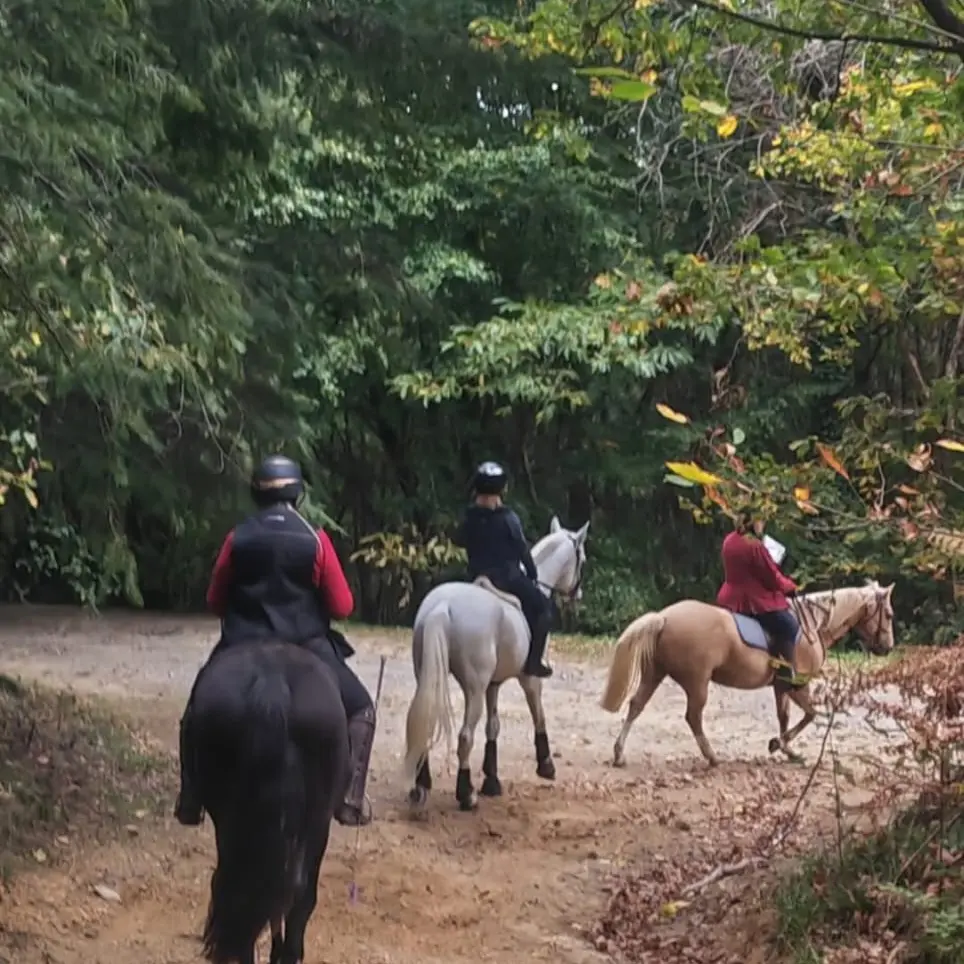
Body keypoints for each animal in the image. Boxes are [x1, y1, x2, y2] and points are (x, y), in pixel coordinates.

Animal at [403, 515, 589, 812]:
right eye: (581, 558)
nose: (578, 594)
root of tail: (442, 606)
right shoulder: (530, 679)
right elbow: (539, 715)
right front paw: (546, 765)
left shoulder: (494, 683)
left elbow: (494, 726)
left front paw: (491, 780)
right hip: (474, 689)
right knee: (465, 737)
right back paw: (466, 795)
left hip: (429, 676)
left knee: (428, 721)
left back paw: (421, 786)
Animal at [601, 581, 896, 768]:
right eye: (890, 614)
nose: (888, 648)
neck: (812, 626)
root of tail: (663, 617)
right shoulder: (798, 685)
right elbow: (810, 715)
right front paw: (778, 744)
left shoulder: (780, 687)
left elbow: (784, 716)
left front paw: (787, 749)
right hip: (697, 683)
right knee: (693, 717)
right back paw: (712, 757)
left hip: (655, 673)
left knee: (636, 705)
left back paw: (618, 754)